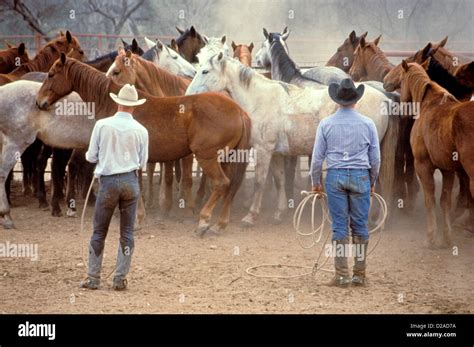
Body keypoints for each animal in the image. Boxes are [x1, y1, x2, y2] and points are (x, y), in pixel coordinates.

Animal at [187, 53, 398, 228]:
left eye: (205, 71)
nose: (189, 95)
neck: (260, 99)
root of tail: (384, 98)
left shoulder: (264, 150)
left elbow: (259, 182)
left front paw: (250, 217)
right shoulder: (276, 154)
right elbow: (279, 180)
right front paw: (279, 213)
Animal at [400, 60, 474, 250]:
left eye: (401, 80)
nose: (401, 104)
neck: (429, 104)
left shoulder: (423, 166)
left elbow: (430, 200)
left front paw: (431, 237)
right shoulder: (448, 170)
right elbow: (444, 201)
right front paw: (447, 238)